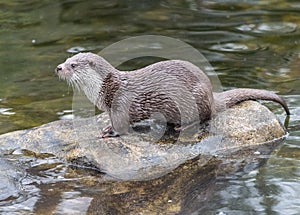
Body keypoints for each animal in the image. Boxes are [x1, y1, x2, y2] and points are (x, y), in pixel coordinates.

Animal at [55, 51, 290, 138]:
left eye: (73, 65)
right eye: (66, 60)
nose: (58, 67)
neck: (106, 88)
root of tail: (211, 95)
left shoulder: (121, 103)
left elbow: (121, 126)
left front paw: (109, 131)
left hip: (195, 99)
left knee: (205, 117)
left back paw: (181, 127)